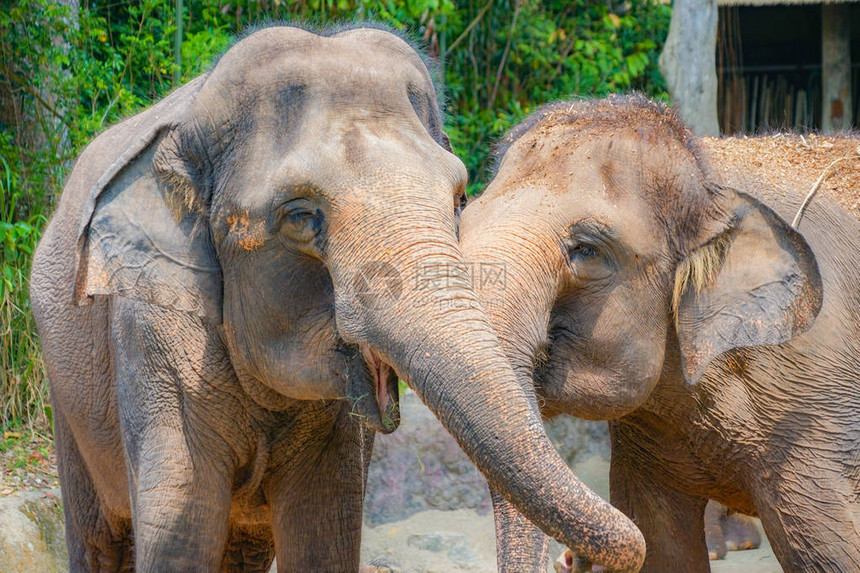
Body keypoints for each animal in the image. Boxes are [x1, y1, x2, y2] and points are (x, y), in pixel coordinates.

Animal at [30, 29, 644, 572]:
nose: (574, 558)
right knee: (100, 539)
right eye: (302, 217)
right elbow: (180, 538)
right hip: (67, 397)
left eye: (459, 197)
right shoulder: (152, 331)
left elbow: (323, 536)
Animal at [460, 96, 856, 568]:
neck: (709, 176)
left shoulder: (814, 414)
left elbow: (831, 555)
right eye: (462, 223)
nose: (572, 560)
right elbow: (662, 549)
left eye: (586, 249)